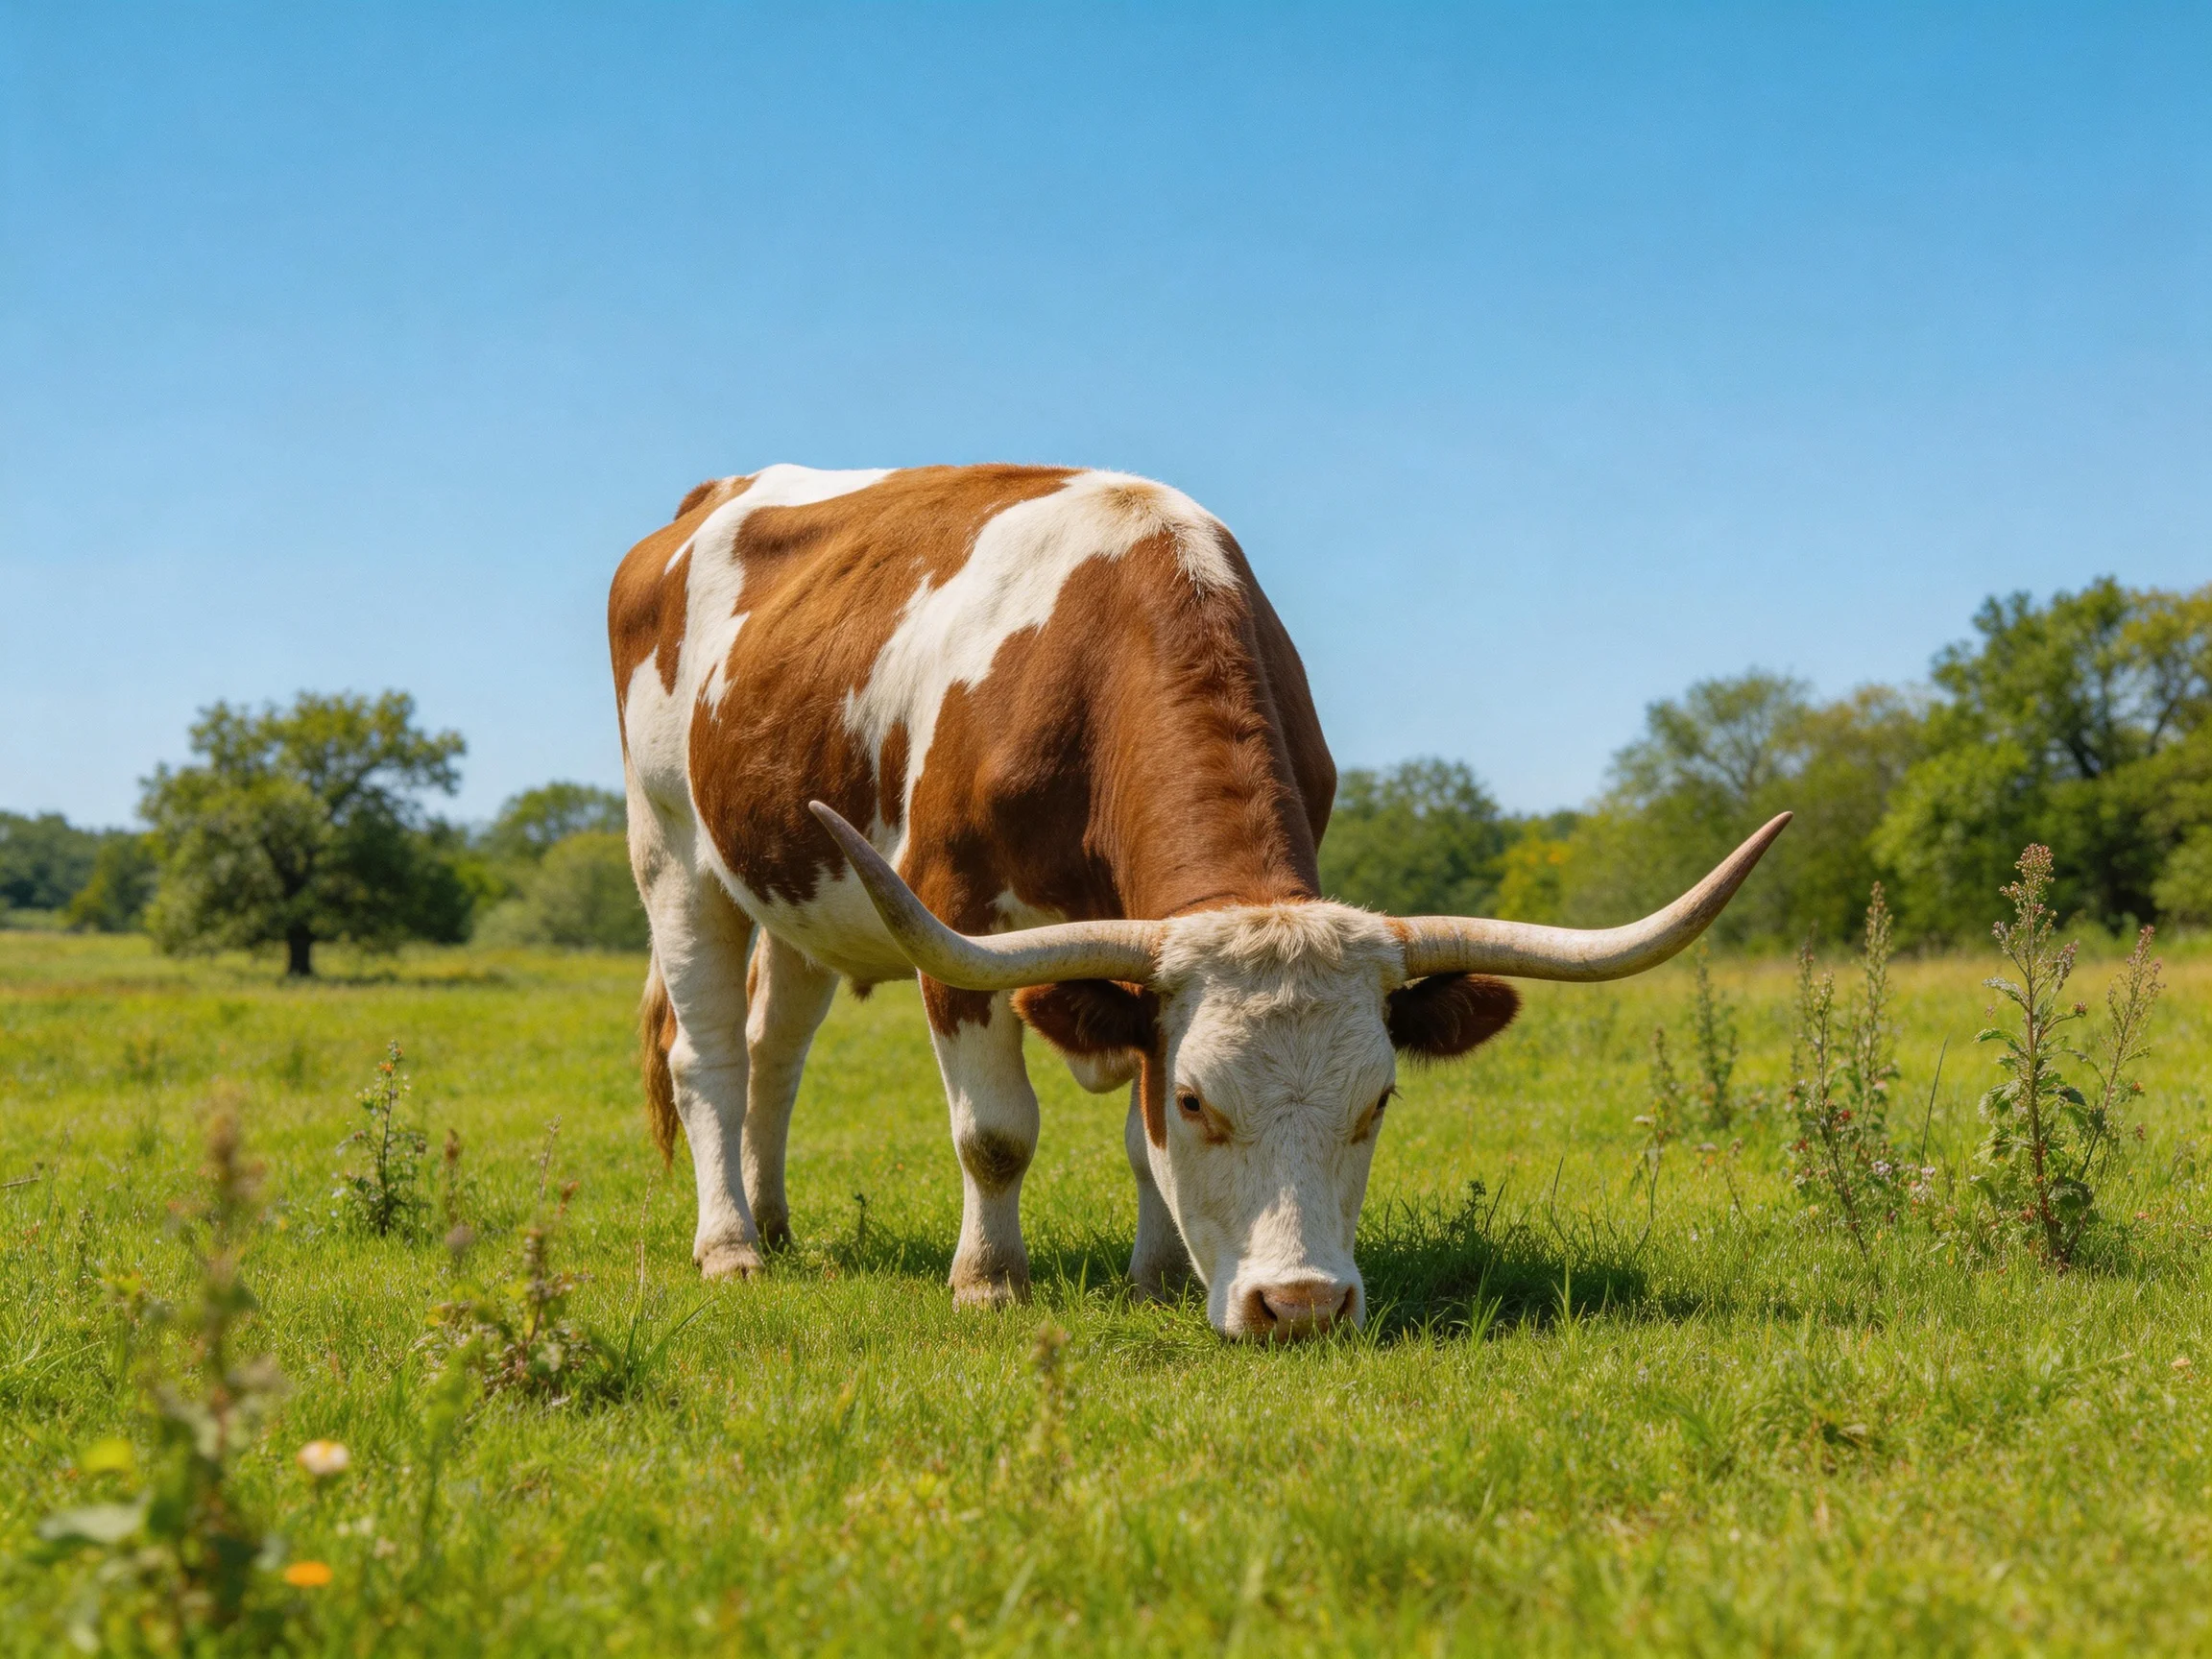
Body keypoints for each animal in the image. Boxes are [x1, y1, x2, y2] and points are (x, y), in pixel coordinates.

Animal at [608, 463, 1786, 1341]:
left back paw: (774, 1221)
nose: (1300, 1305)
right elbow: (997, 1132)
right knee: (708, 1060)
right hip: (672, 856)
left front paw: (1161, 1273)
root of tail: (707, 500)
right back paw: (731, 1248)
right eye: (1196, 1099)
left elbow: (1132, 1146)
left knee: (775, 1055)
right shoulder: (956, 917)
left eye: (1379, 1102)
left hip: (796, 897)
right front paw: (990, 1280)